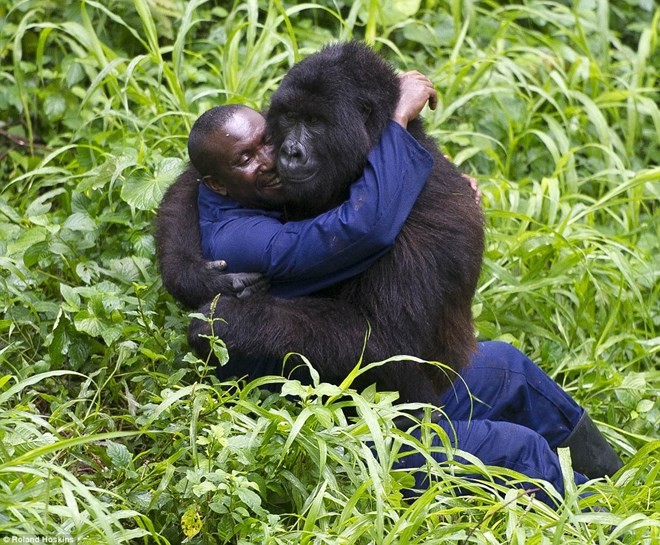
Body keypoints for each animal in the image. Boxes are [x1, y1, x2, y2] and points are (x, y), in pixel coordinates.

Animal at [155, 41, 484, 404]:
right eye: (289, 117)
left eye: (314, 121)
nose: (289, 152)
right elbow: (191, 182)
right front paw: (192, 275)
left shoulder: (422, 223)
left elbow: (388, 345)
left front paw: (227, 321)